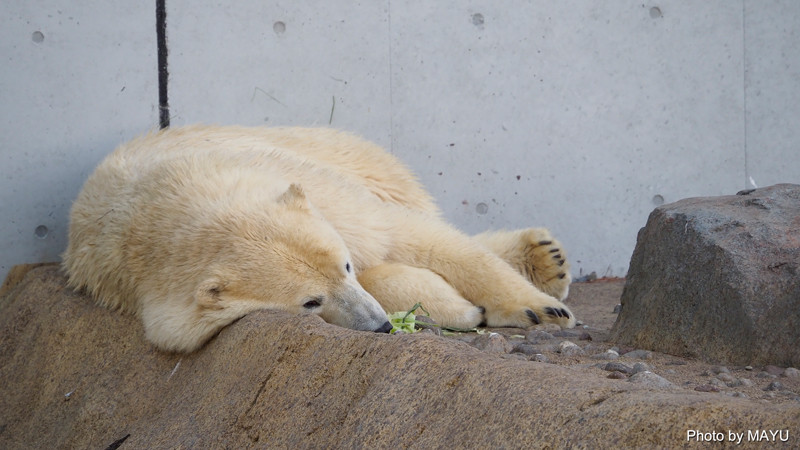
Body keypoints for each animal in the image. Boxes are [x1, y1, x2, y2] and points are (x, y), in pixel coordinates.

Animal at [64, 125, 576, 352]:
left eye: (345, 266)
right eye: (311, 302)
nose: (379, 326)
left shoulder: (313, 188)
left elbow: (412, 235)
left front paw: (540, 309)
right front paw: (455, 306)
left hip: (354, 158)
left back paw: (545, 259)